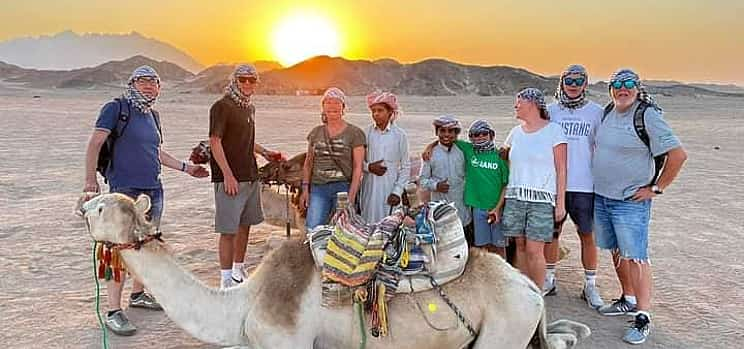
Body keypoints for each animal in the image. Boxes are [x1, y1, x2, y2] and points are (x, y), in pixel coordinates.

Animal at [75, 193, 588, 348]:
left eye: (101, 207)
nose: (80, 206)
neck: (243, 305)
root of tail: (529, 288)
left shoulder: (287, 343)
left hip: (503, 329)